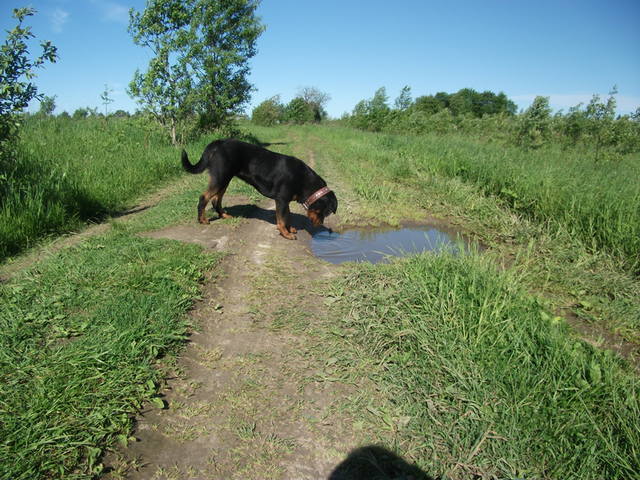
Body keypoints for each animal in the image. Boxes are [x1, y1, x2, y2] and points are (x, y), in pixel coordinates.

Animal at [181, 138, 338, 239]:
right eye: (325, 212)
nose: (320, 225)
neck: (304, 180)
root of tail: (219, 143)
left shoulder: (285, 201)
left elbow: (287, 216)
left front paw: (289, 229)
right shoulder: (281, 200)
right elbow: (282, 219)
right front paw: (286, 234)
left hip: (225, 179)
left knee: (215, 200)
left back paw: (223, 215)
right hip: (220, 178)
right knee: (204, 197)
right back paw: (202, 220)